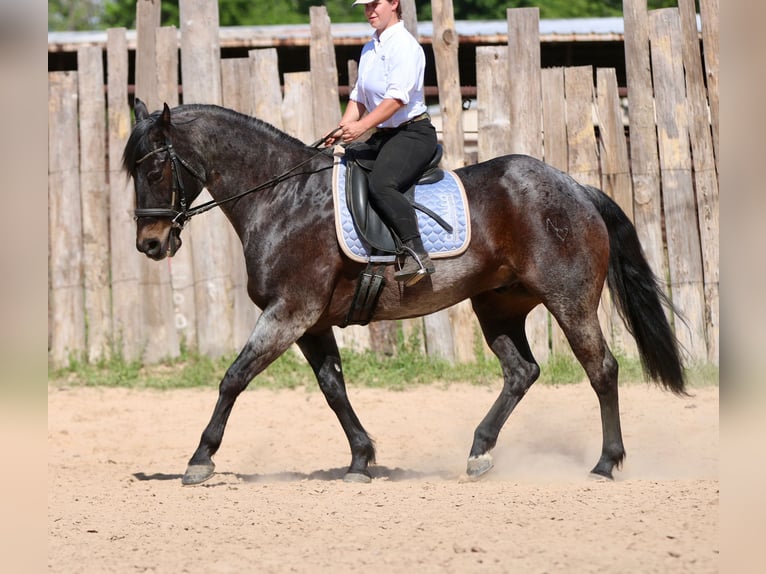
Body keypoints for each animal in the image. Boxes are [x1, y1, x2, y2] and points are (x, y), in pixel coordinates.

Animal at [124, 100, 686, 486]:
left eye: (154, 168)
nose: (150, 244)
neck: (281, 197)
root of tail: (574, 187)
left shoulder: (289, 312)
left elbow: (233, 378)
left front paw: (200, 459)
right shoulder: (310, 322)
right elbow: (333, 388)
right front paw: (360, 458)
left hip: (568, 299)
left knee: (601, 368)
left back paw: (605, 463)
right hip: (498, 304)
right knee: (521, 372)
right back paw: (479, 453)